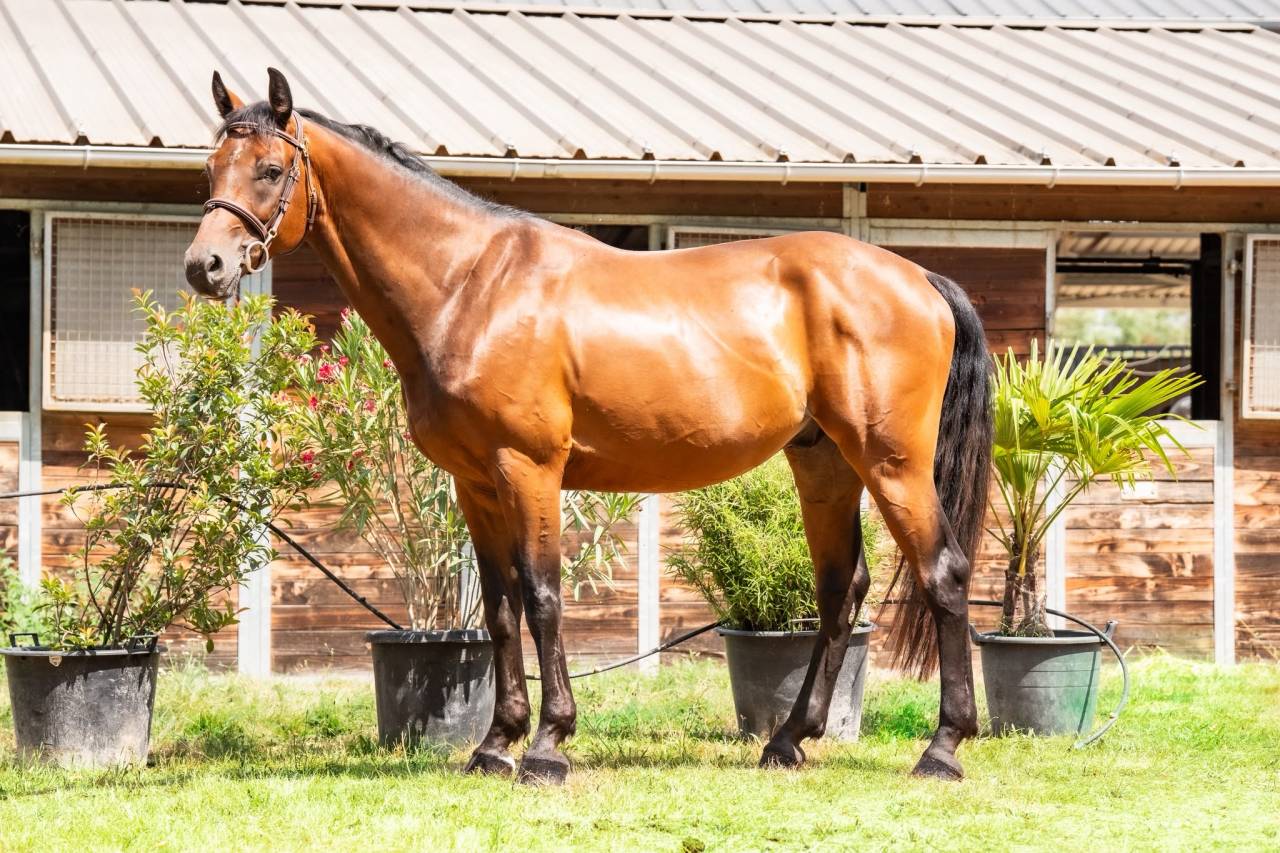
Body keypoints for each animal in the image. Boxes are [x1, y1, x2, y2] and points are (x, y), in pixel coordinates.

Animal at [185, 69, 993, 785]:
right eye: (210, 167)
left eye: (269, 169)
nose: (206, 266)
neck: (469, 284)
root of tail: (921, 279)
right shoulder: (475, 483)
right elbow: (501, 608)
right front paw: (495, 744)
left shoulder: (529, 468)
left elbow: (544, 597)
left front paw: (547, 746)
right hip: (823, 462)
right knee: (839, 589)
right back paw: (789, 740)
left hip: (890, 462)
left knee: (942, 574)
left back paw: (943, 748)